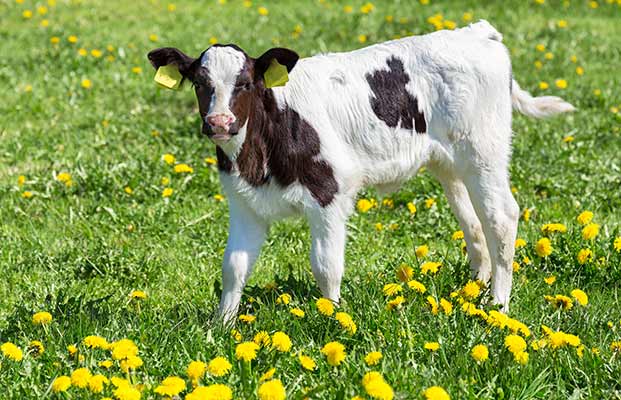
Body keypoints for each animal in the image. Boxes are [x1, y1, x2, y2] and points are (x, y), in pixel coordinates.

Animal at [148, 21, 572, 322]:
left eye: (246, 83)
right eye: (200, 83)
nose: (219, 122)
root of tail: (476, 32)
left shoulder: (329, 194)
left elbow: (326, 266)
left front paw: (331, 318)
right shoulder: (244, 202)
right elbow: (234, 267)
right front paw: (222, 326)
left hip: (484, 151)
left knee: (501, 217)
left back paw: (498, 305)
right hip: (450, 163)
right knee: (472, 221)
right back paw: (473, 291)